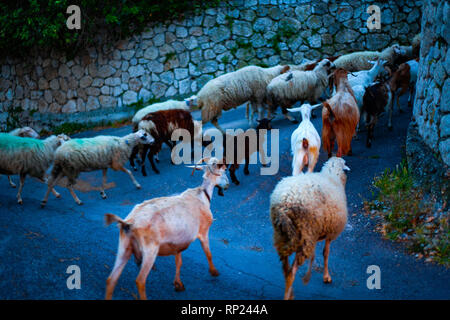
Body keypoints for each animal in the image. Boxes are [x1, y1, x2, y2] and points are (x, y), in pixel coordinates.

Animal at [104, 158, 229, 300]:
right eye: (224, 170)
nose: (227, 185)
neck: (202, 195)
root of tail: (128, 223)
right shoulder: (203, 232)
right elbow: (208, 254)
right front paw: (214, 272)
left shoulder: (178, 242)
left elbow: (179, 262)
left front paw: (178, 284)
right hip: (150, 250)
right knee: (140, 280)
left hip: (124, 247)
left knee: (111, 279)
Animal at [268, 157, 350, 300]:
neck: (332, 176)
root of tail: (284, 205)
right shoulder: (329, 233)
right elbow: (325, 253)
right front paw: (326, 276)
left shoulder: (317, 232)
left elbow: (315, 254)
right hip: (305, 233)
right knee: (291, 272)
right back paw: (288, 295)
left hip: (283, 235)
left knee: (285, 268)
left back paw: (289, 291)